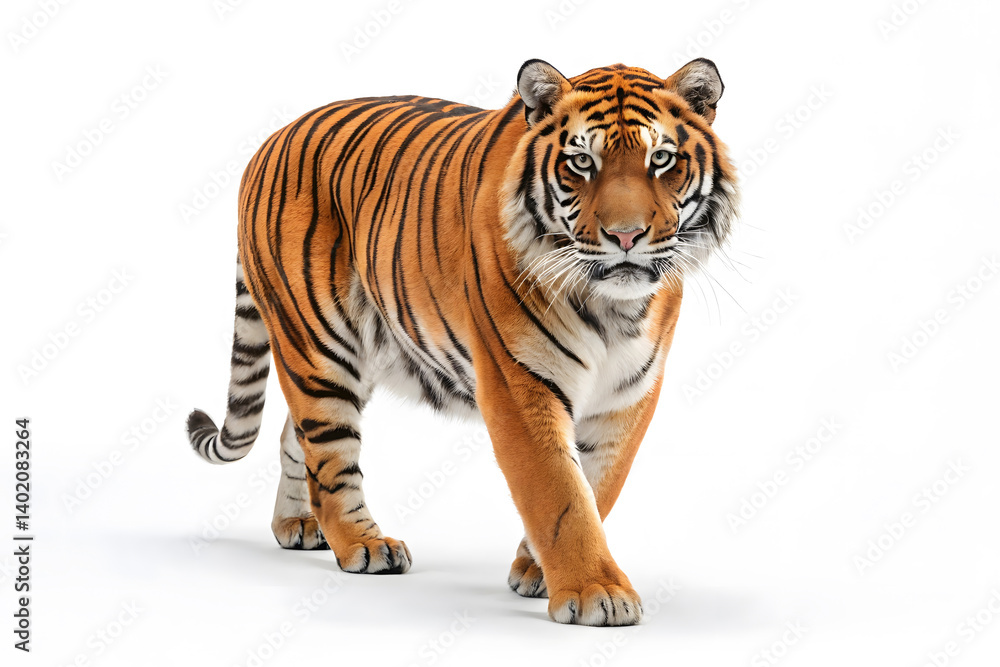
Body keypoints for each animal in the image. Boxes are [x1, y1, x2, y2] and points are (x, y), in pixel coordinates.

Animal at [187, 57, 739, 626]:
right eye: (582, 162)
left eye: (661, 159)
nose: (626, 236)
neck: (615, 308)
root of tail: (270, 141)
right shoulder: (519, 384)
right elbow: (559, 493)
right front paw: (595, 592)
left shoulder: (629, 394)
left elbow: (598, 486)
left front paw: (538, 571)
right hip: (319, 347)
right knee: (330, 458)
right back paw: (364, 545)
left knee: (292, 435)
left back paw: (295, 527)